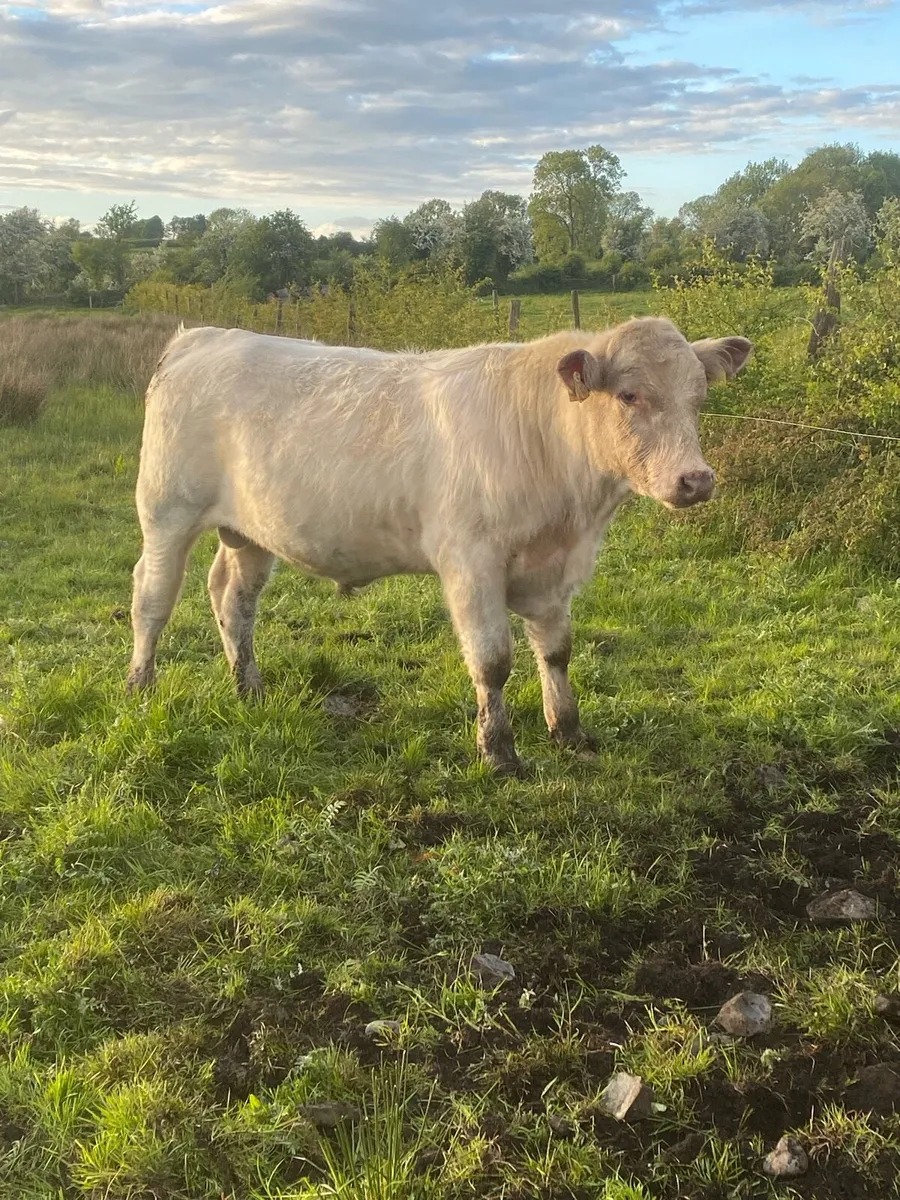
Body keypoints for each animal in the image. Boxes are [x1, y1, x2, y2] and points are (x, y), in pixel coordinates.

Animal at [128, 318, 751, 775]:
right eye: (628, 395)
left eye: (699, 398)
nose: (696, 479)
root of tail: (201, 337)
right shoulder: (471, 563)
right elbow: (493, 661)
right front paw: (499, 753)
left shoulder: (554, 573)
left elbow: (556, 651)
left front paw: (569, 731)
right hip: (166, 511)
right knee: (151, 599)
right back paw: (140, 684)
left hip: (252, 532)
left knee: (233, 599)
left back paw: (249, 688)